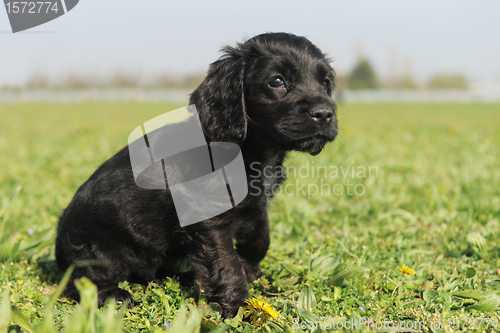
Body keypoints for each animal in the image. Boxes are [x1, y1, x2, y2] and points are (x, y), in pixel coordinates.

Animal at [56, 32, 338, 318]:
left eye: (326, 83)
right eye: (277, 81)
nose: (325, 113)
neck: (251, 151)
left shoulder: (257, 205)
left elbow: (260, 236)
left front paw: (251, 269)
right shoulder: (210, 217)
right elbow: (226, 263)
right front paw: (237, 307)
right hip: (97, 247)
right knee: (82, 279)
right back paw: (114, 294)